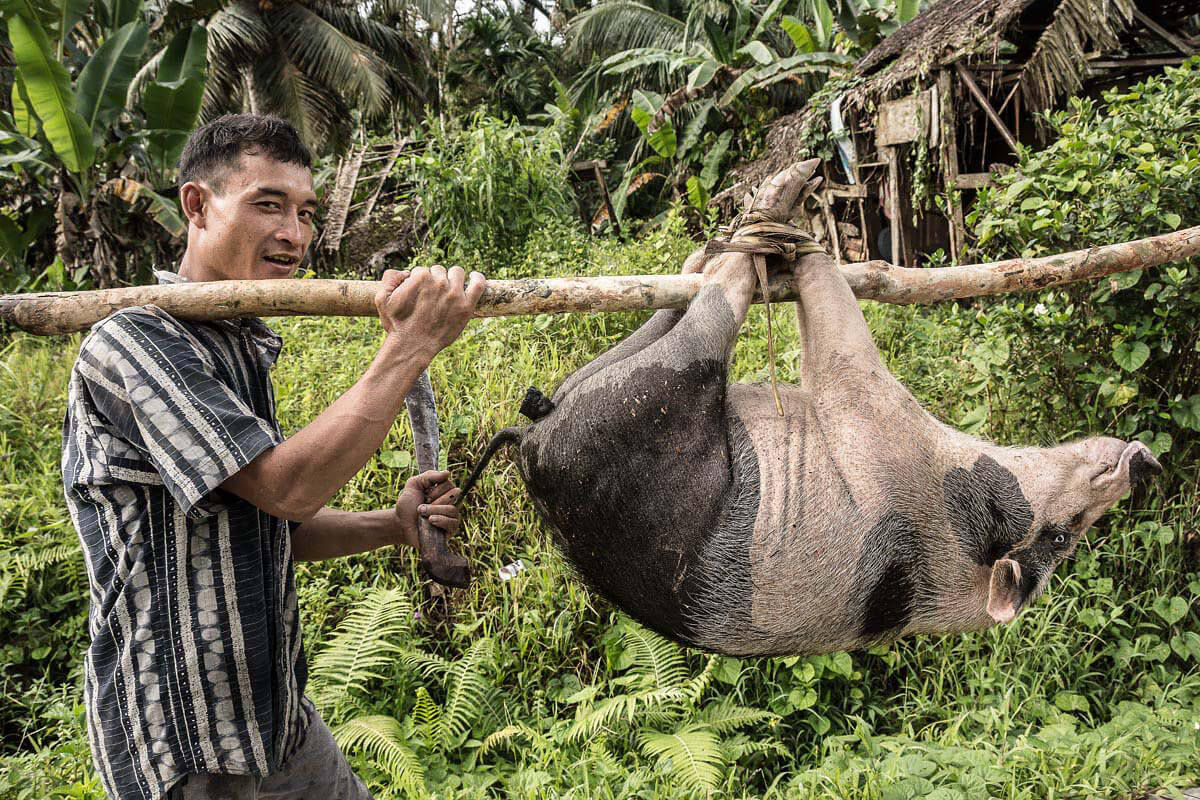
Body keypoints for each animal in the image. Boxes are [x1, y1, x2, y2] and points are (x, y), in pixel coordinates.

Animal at [460, 158, 1161, 657]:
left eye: (1064, 535)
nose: (1143, 464)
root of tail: (529, 441)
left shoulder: (869, 416)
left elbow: (840, 340)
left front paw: (806, 238)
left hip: (637, 406)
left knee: (710, 315)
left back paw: (766, 218)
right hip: (601, 387)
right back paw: (721, 243)